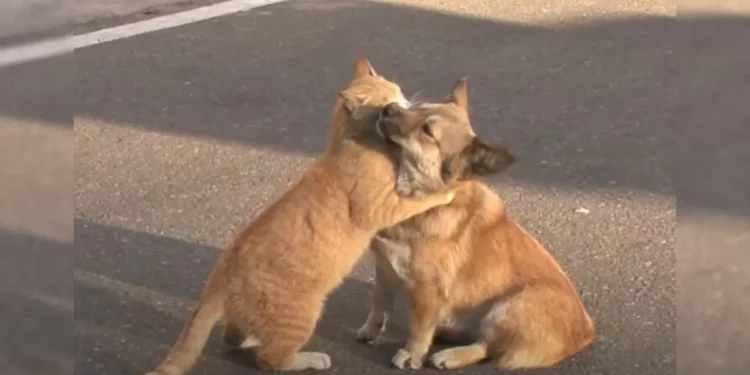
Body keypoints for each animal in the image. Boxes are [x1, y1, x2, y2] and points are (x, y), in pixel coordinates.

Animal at [142, 59, 458, 375]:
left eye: (399, 92)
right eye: (388, 104)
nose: (403, 104)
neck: (348, 142)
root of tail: (218, 279)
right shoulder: (382, 208)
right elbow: (418, 200)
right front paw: (445, 192)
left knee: (232, 337)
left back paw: (251, 339)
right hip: (303, 315)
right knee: (271, 359)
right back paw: (310, 359)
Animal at [356, 78, 596, 370]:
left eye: (427, 131)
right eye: (417, 107)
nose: (388, 108)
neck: (423, 202)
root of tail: (586, 331)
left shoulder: (427, 290)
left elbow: (419, 329)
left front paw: (411, 355)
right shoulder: (385, 269)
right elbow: (379, 304)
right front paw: (371, 329)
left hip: (510, 306)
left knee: (488, 347)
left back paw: (451, 355)